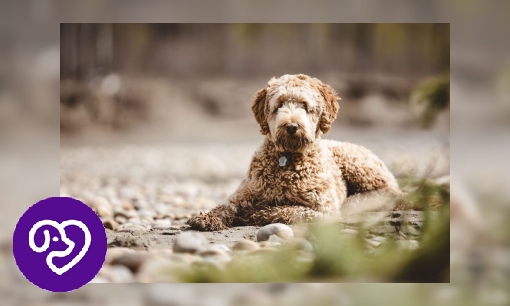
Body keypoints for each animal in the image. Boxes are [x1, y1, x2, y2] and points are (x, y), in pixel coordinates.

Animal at [188, 74, 402, 232]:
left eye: (305, 106)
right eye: (279, 105)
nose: (291, 126)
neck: (288, 158)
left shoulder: (323, 209)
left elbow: (287, 211)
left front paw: (254, 214)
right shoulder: (242, 195)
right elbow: (226, 206)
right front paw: (207, 217)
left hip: (357, 164)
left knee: (391, 194)